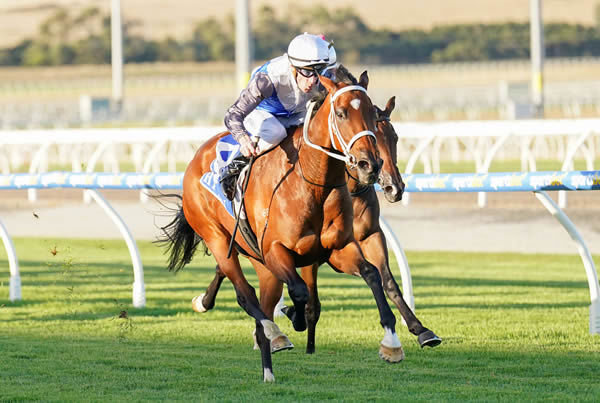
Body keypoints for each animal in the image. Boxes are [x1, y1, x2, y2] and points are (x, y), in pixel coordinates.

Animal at [159, 73, 406, 386]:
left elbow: (373, 274)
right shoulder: (277, 250)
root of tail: (195, 159)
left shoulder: (338, 248)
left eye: (374, 119)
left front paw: (392, 343)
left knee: (263, 301)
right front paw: (293, 317)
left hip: (260, 261)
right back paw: (273, 334)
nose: (370, 165)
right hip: (218, 239)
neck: (311, 181)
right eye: (341, 113)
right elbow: (300, 292)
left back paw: (268, 365)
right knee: (245, 293)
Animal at [192, 93, 440, 356]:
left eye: (394, 137)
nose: (394, 187)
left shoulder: (368, 236)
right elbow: (309, 297)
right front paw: (298, 323)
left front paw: (420, 329)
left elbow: (386, 279)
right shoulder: (314, 254)